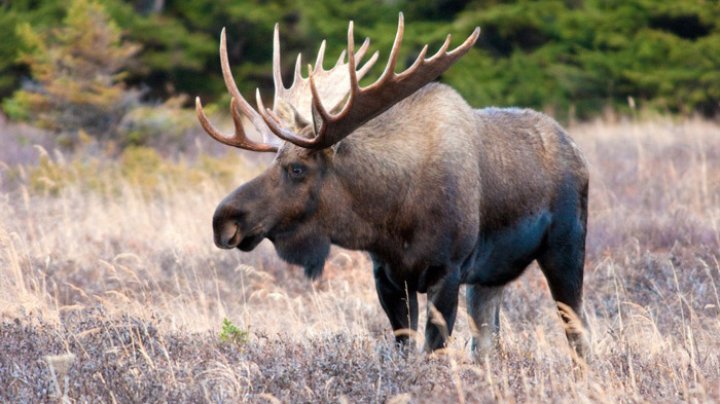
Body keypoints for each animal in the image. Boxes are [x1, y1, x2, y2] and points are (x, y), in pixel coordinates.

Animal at [197, 14, 592, 358]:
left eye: (297, 168)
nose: (223, 220)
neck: (392, 216)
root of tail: (577, 150)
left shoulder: (447, 271)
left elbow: (433, 352)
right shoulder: (387, 275)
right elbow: (405, 349)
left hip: (566, 248)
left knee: (578, 331)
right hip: (490, 277)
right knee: (487, 344)